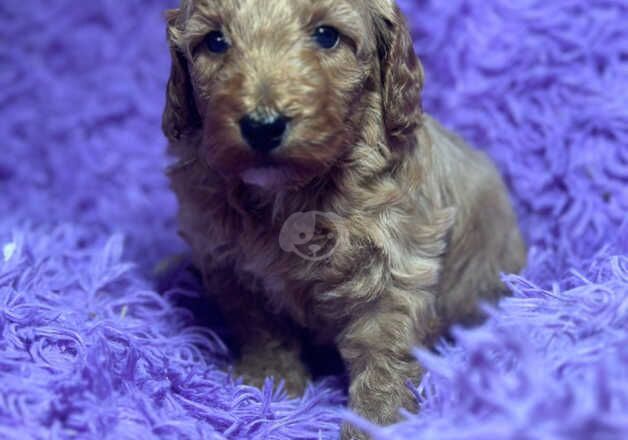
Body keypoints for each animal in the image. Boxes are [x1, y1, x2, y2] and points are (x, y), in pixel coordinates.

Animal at [161, 0, 524, 436]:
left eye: (326, 35)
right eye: (215, 42)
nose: (263, 126)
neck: (290, 197)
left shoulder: (395, 267)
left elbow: (383, 352)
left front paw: (377, 422)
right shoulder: (228, 263)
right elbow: (261, 329)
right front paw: (268, 383)